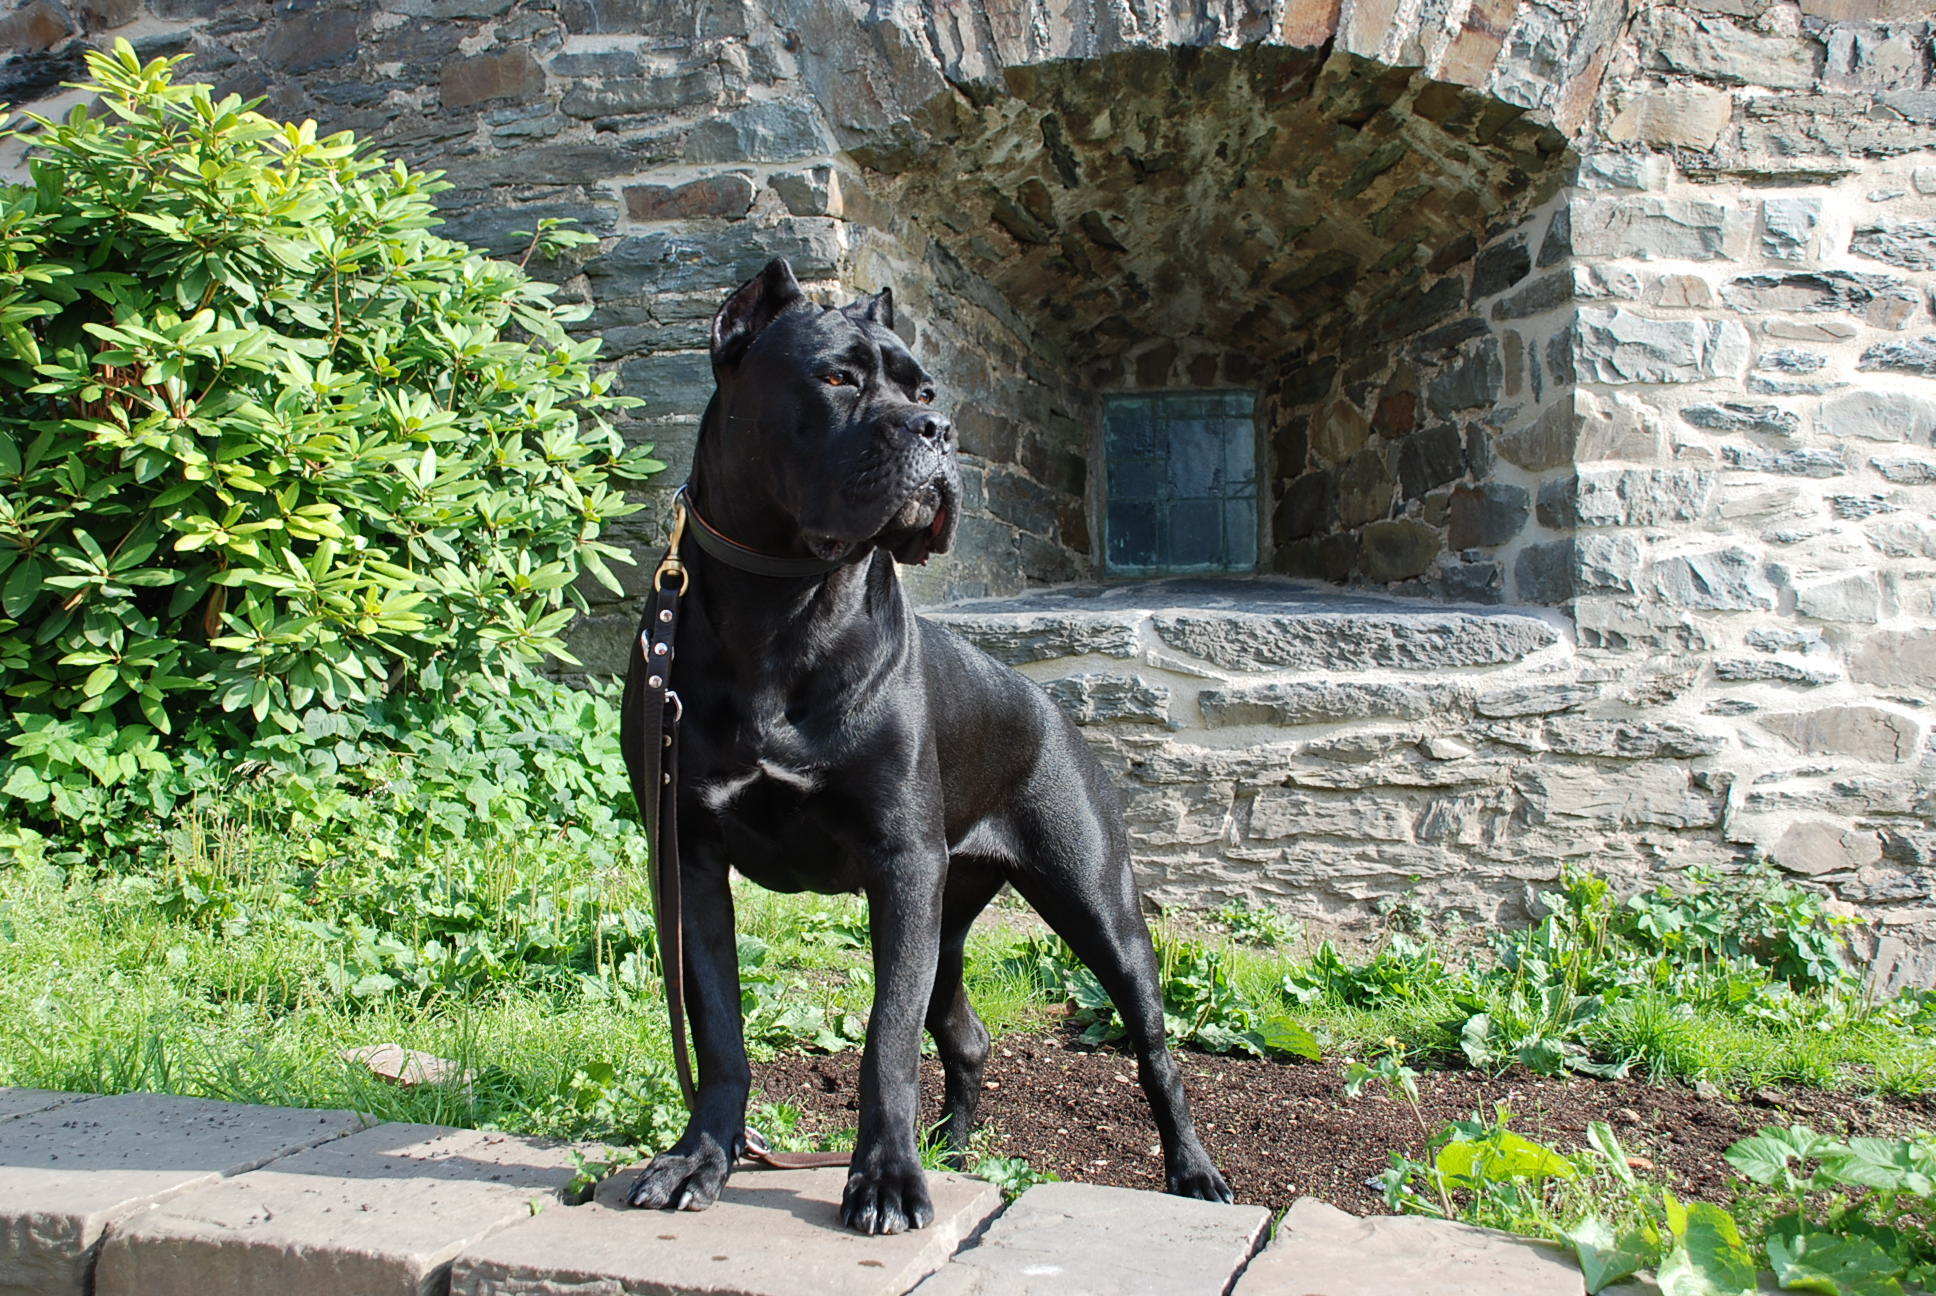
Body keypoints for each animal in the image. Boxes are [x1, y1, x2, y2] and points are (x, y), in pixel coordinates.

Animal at [619, 255, 1223, 1232]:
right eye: (836, 378)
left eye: (926, 389)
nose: (938, 430)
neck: (782, 604)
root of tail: (1054, 709)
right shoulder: (690, 858)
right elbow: (719, 1027)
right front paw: (699, 1159)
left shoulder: (901, 865)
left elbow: (887, 1036)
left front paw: (886, 1179)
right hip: (951, 908)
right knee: (966, 1035)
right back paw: (953, 1146)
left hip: (1095, 908)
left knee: (1155, 1052)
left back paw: (1192, 1171)